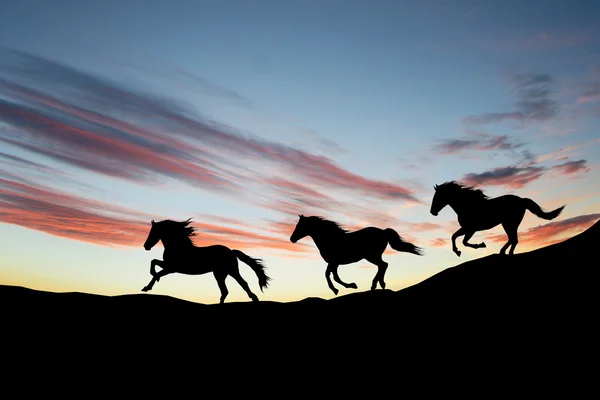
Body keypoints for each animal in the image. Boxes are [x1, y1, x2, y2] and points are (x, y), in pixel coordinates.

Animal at [142, 219, 270, 304]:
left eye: (153, 232)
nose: (146, 246)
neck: (178, 247)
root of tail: (231, 251)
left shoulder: (171, 268)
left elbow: (156, 272)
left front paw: (147, 287)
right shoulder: (168, 266)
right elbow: (154, 262)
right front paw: (151, 281)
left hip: (230, 271)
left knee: (241, 284)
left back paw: (254, 299)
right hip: (221, 274)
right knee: (226, 290)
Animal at [290, 214, 422, 296]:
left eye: (299, 226)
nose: (292, 239)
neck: (331, 239)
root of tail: (383, 231)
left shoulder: (334, 262)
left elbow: (330, 276)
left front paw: (341, 288)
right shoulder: (334, 263)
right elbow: (332, 275)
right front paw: (346, 287)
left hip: (371, 256)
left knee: (383, 265)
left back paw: (376, 284)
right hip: (373, 256)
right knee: (383, 265)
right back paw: (380, 284)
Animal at [428, 181, 564, 256]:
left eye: (437, 197)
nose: (432, 212)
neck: (467, 205)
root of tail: (521, 200)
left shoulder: (470, 229)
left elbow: (461, 240)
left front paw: (478, 246)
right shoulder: (468, 229)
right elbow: (455, 237)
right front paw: (459, 251)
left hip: (509, 223)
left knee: (513, 239)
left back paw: (503, 252)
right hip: (509, 224)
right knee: (514, 240)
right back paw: (507, 253)